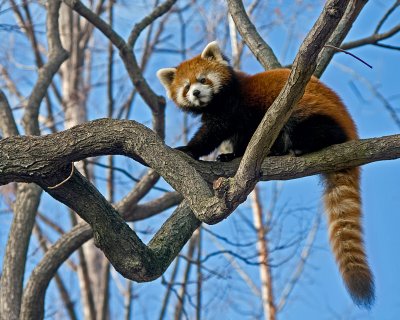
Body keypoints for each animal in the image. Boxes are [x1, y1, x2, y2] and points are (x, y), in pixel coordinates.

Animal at [157, 41, 376, 306]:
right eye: (187, 87)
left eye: (203, 79)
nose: (196, 93)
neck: (219, 99)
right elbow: (241, 138)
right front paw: (232, 156)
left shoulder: (235, 106)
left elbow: (215, 131)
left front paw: (190, 149)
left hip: (309, 109)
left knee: (316, 128)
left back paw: (303, 145)